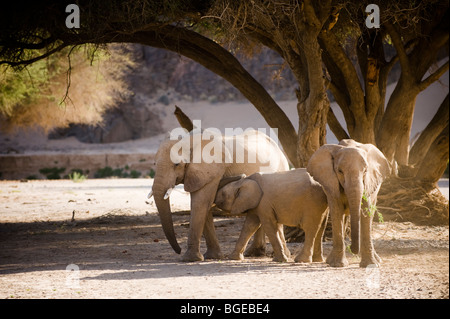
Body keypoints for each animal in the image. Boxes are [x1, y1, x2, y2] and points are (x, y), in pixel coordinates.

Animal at [148, 128, 288, 262]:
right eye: (154, 164)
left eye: (176, 164)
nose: (178, 250)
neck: (190, 139)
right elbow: (203, 206)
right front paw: (212, 257)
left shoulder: (212, 170)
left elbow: (200, 203)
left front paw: (188, 259)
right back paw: (254, 253)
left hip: (282, 168)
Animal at [306, 139, 390, 268]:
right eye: (340, 171)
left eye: (365, 171)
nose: (353, 250)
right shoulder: (331, 183)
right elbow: (337, 211)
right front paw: (337, 264)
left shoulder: (369, 183)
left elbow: (366, 212)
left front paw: (370, 265)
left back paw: (377, 260)